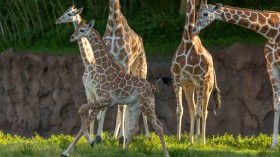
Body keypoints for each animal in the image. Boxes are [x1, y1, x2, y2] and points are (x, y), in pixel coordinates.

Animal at [69, 19, 171, 157]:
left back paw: (165, 154)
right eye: (76, 28)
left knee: (158, 126)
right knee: (135, 127)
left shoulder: (106, 99)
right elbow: (84, 112)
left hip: (146, 104)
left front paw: (91, 141)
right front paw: (89, 142)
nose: (72, 37)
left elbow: (82, 109)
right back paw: (123, 151)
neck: (103, 68)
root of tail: (152, 87)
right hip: (136, 105)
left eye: (82, 30)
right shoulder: (103, 100)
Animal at [102, 0, 150, 142]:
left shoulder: (124, 64)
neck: (113, 26)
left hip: (140, 68)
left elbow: (122, 105)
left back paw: (147, 135)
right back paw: (117, 135)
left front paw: (122, 138)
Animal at [194, 0, 280, 150]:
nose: (193, 29)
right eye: (197, 12)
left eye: (205, 13)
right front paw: (273, 144)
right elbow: (276, 104)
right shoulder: (272, 64)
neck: (272, 31)